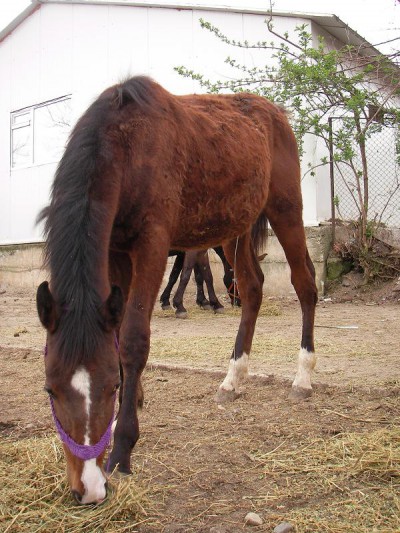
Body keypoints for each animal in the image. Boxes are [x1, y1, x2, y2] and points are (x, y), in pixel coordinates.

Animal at [36, 75, 318, 502]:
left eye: (109, 387)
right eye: (50, 390)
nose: (88, 489)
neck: (126, 144)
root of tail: (275, 114)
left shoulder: (151, 245)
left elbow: (134, 340)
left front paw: (122, 447)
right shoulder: (116, 249)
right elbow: (118, 334)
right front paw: (133, 402)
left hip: (286, 209)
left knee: (304, 284)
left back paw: (302, 377)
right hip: (233, 231)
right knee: (252, 288)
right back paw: (232, 379)